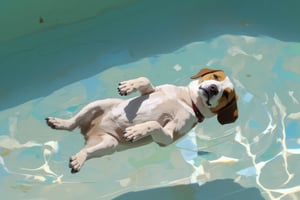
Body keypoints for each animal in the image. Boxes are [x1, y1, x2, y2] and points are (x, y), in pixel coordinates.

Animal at [45, 68, 239, 173]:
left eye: (226, 94)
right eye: (215, 77)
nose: (214, 88)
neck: (186, 101)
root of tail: (88, 133)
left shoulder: (168, 136)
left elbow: (155, 124)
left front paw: (137, 130)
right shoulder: (152, 91)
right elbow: (145, 81)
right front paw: (129, 86)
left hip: (109, 144)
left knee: (86, 150)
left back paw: (79, 158)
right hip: (98, 104)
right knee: (72, 124)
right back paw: (59, 122)